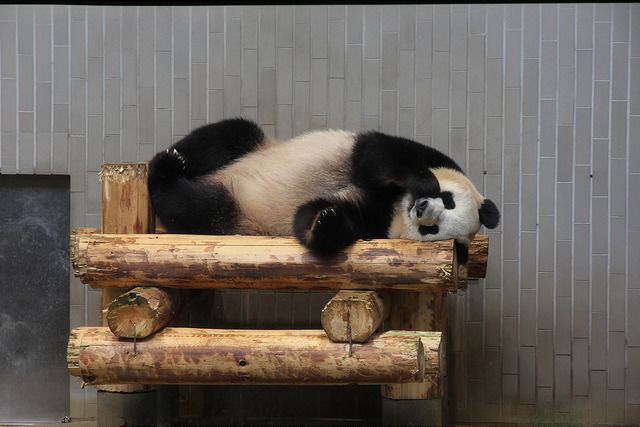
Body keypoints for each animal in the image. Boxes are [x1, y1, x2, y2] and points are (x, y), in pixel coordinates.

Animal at [148, 118, 498, 264]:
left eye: (433, 230)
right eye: (448, 200)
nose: (422, 208)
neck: (394, 204)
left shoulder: (375, 224)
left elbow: (308, 215)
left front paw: (327, 221)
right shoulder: (430, 157)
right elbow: (379, 154)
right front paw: (423, 180)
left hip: (238, 213)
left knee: (197, 207)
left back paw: (165, 176)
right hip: (253, 145)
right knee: (224, 135)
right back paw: (170, 159)